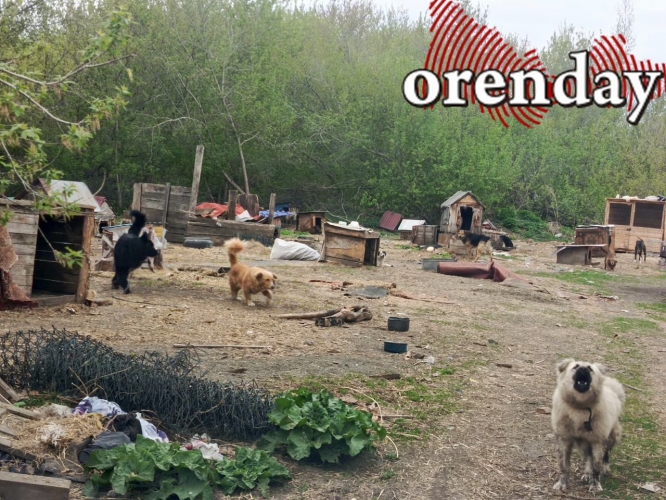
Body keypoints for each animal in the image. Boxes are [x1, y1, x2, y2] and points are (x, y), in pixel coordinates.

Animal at [551, 358, 625, 493]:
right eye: (575, 367)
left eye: (590, 369)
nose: (583, 369)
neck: (580, 408)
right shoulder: (564, 439)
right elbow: (564, 465)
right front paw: (562, 483)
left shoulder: (597, 441)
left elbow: (596, 466)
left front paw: (595, 485)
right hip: (587, 443)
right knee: (588, 458)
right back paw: (587, 474)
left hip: (611, 437)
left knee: (606, 455)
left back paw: (604, 469)